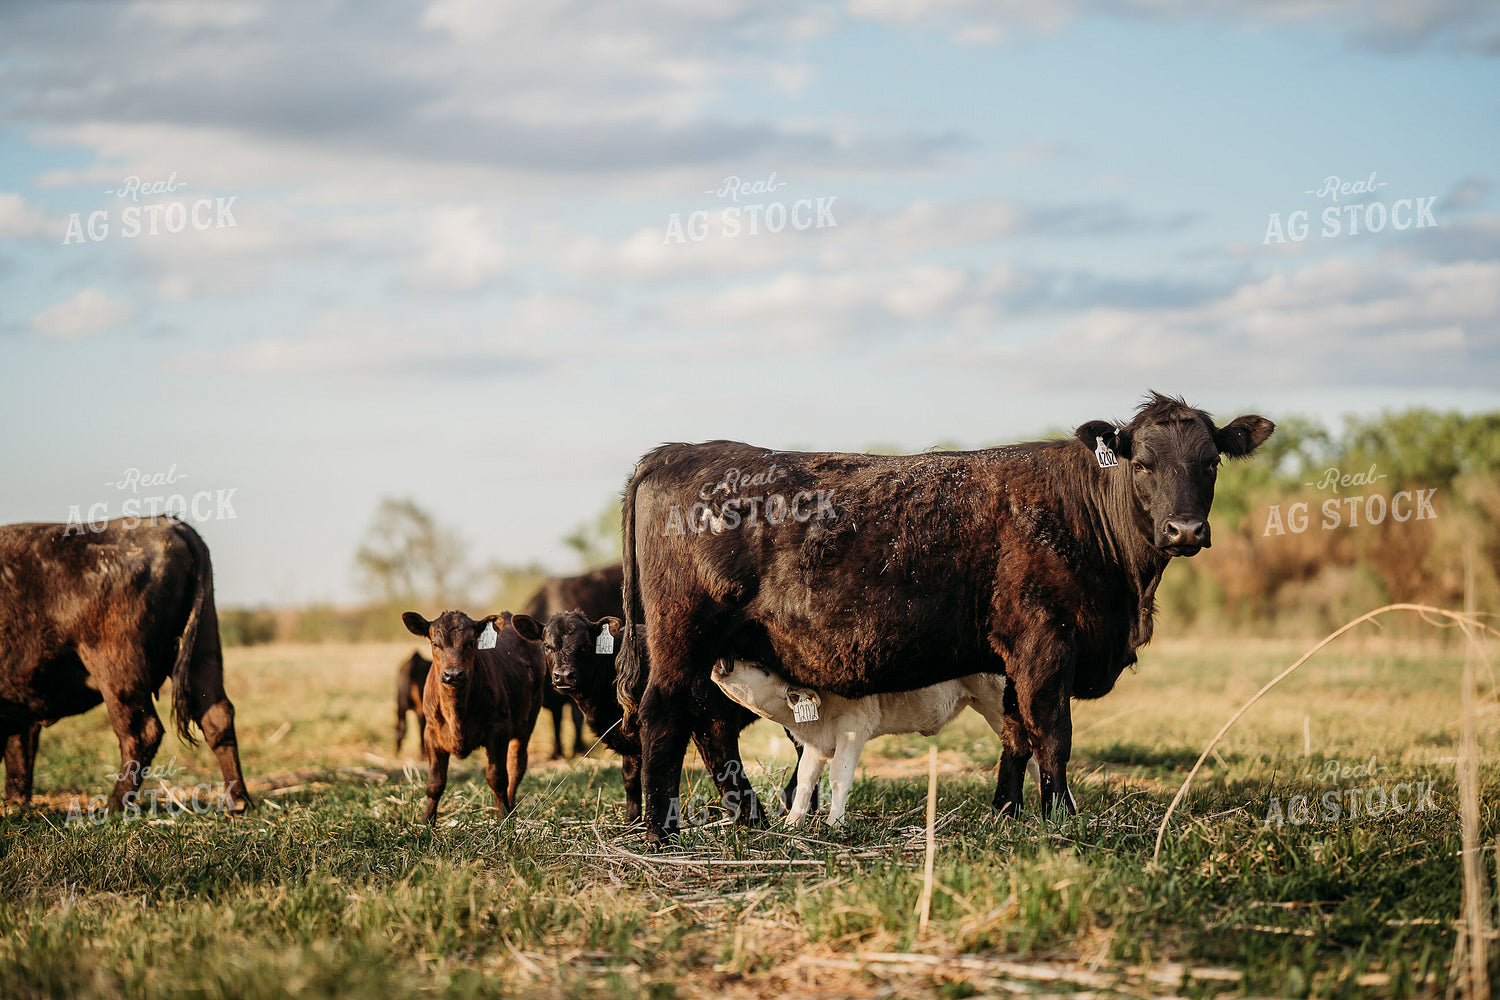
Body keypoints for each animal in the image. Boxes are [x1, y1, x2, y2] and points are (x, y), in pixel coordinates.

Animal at [0, 516, 251, 814]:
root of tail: (167, 523)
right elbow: (19, 751)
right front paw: (15, 802)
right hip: (204, 651)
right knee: (217, 717)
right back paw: (238, 801)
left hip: (117, 673)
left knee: (142, 732)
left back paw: (112, 806)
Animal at [401, 609, 545, 824]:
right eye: (435, 643)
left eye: (470, 642)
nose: (453, 674)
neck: (456, 713)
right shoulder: (431, 734)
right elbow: (435, 783)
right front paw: (427, 823)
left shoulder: (499, 730)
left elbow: (497, 777)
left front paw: (504, 819)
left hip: (527, 723)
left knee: (515, 767)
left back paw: (510, 810)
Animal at [521, 564, 624, 759]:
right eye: (547, 646)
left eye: (586, 645)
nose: (563, 675)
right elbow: (556, 719)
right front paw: (556, 752)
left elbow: (576, 717)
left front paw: (577, 747)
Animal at [710, 657, 1047, 825]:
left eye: (762, 669)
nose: (723, 662)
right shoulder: (816, 744)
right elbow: (806, 779)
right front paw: (791, 824)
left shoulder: (854, 727)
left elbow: (839, 777)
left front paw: (834, 824)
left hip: (997, 703)